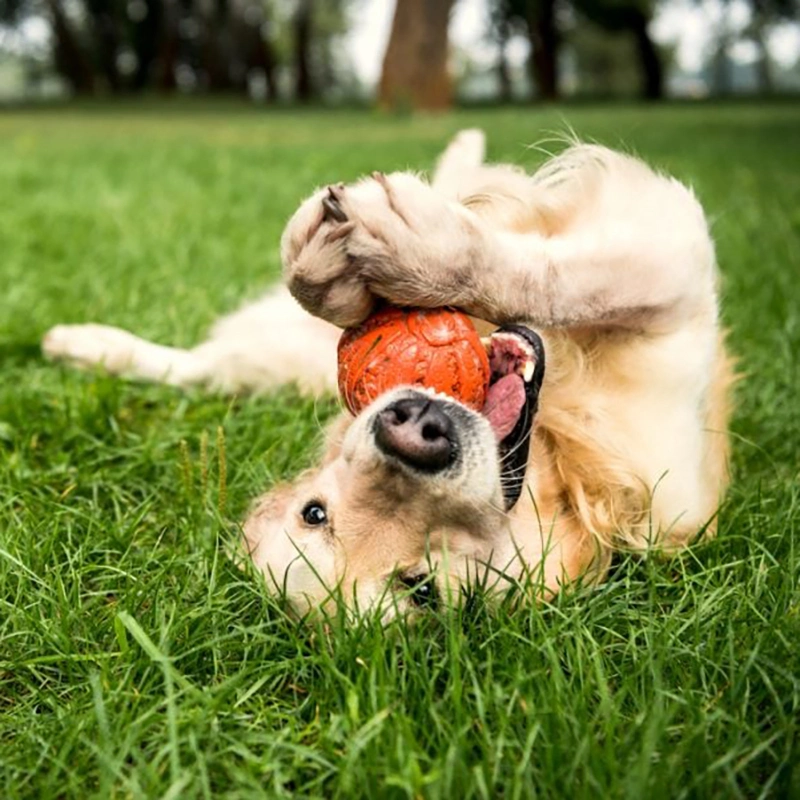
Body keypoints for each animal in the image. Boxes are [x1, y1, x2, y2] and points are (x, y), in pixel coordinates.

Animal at [42, 131, 732, 620]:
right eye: (317, 513)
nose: (414, 429)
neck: (557, 461)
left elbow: (556, 275)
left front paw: (407, 254)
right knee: (201, 368)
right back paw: (82, 346)